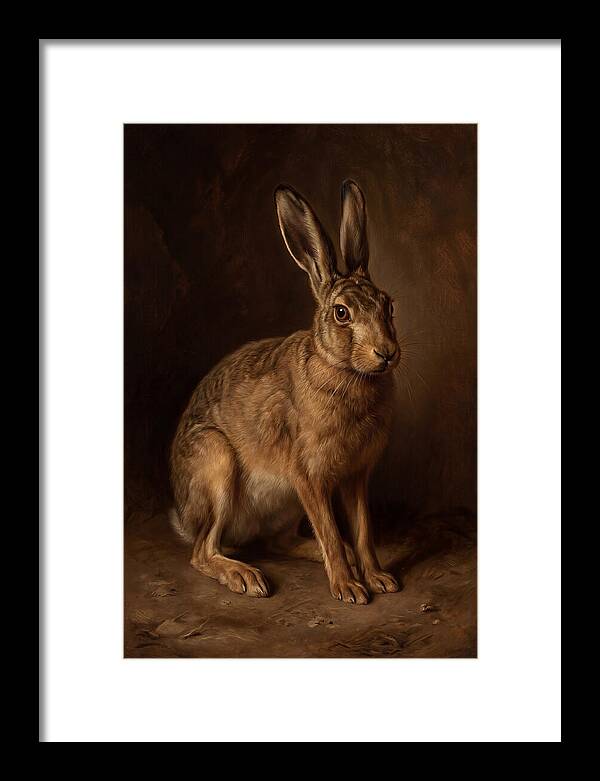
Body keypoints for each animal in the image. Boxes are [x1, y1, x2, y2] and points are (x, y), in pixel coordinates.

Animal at [169, 180, 401, 604]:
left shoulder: (356, 476)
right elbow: (330, 530)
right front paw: (349, 589)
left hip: (285, 505)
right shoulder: (307, 475)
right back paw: (245, 577)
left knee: (279, 543)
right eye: (341, 313)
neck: (345, 370)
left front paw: (378, 578)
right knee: (202, 551)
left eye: (389, 305)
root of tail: (183, 515)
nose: (387, 353)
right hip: (216, 462)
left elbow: (362, 531)